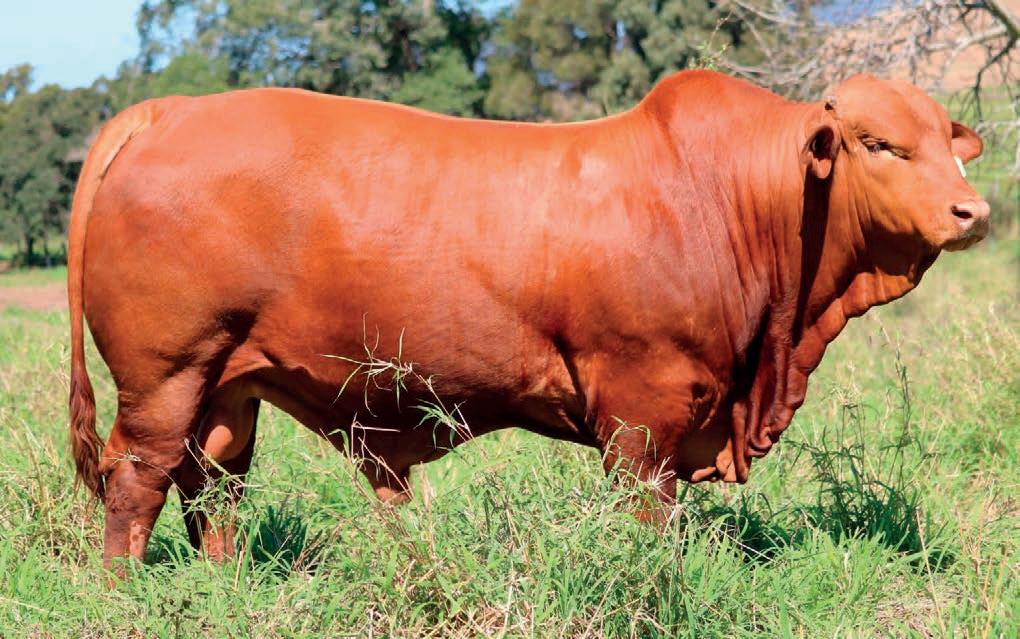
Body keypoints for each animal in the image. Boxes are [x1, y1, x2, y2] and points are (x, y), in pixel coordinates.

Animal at [67, 70, 989, 570]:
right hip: (165, 374)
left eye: (947, 141)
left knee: (215, 483)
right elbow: (649, 524)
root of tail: (174, 108)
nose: (973, 211)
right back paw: (126, 596)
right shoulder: (641, 415)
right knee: (138, 481)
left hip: (229, 382)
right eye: (879, 143)